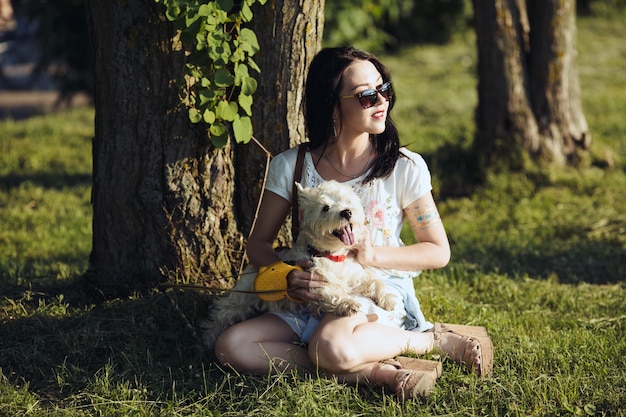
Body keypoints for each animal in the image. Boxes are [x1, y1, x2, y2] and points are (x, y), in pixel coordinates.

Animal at [200, 180, 394, 348]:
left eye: (347, 201)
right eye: (325, 208)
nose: (347, 212)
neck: (332, 256)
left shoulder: (356, 275)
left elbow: (375, 282)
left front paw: (388, 299)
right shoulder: (315, 283)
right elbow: (333, 293)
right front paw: (349, 303)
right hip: (241, 298)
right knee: (222, 313)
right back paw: (207, 340)